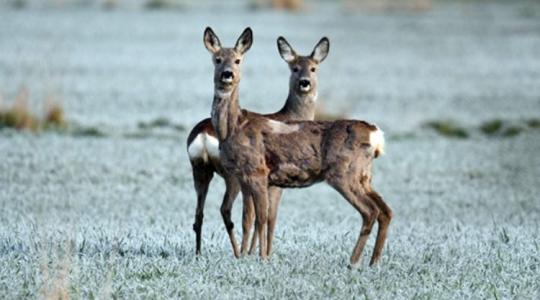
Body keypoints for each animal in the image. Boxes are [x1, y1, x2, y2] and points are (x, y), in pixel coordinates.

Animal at [186, 27, 330, 256]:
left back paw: (201, 254)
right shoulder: (275, 183)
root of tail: (202, 134)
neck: (291, 117)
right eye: (295, 68)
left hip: (200, 169)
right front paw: (265, 253)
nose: (304, 82)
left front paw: (254, 251)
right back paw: (237, 253)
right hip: (231, 176)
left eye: (313, 68)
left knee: (199, 214)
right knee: (227, 210)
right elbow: (269, 217)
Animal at [207, 29, 392, 266]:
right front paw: (248, 257)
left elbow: (262, 218)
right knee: (385, 210)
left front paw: (262, 258)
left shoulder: (258, 172)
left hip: (343, 173)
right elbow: (250, 218)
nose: (227, 74)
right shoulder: (245, 177)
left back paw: (353, 262)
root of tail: (374, 133)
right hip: (364, 176)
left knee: (370, 211)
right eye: (217, 59)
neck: (234, 126)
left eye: (238, 60)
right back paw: (373, 262)